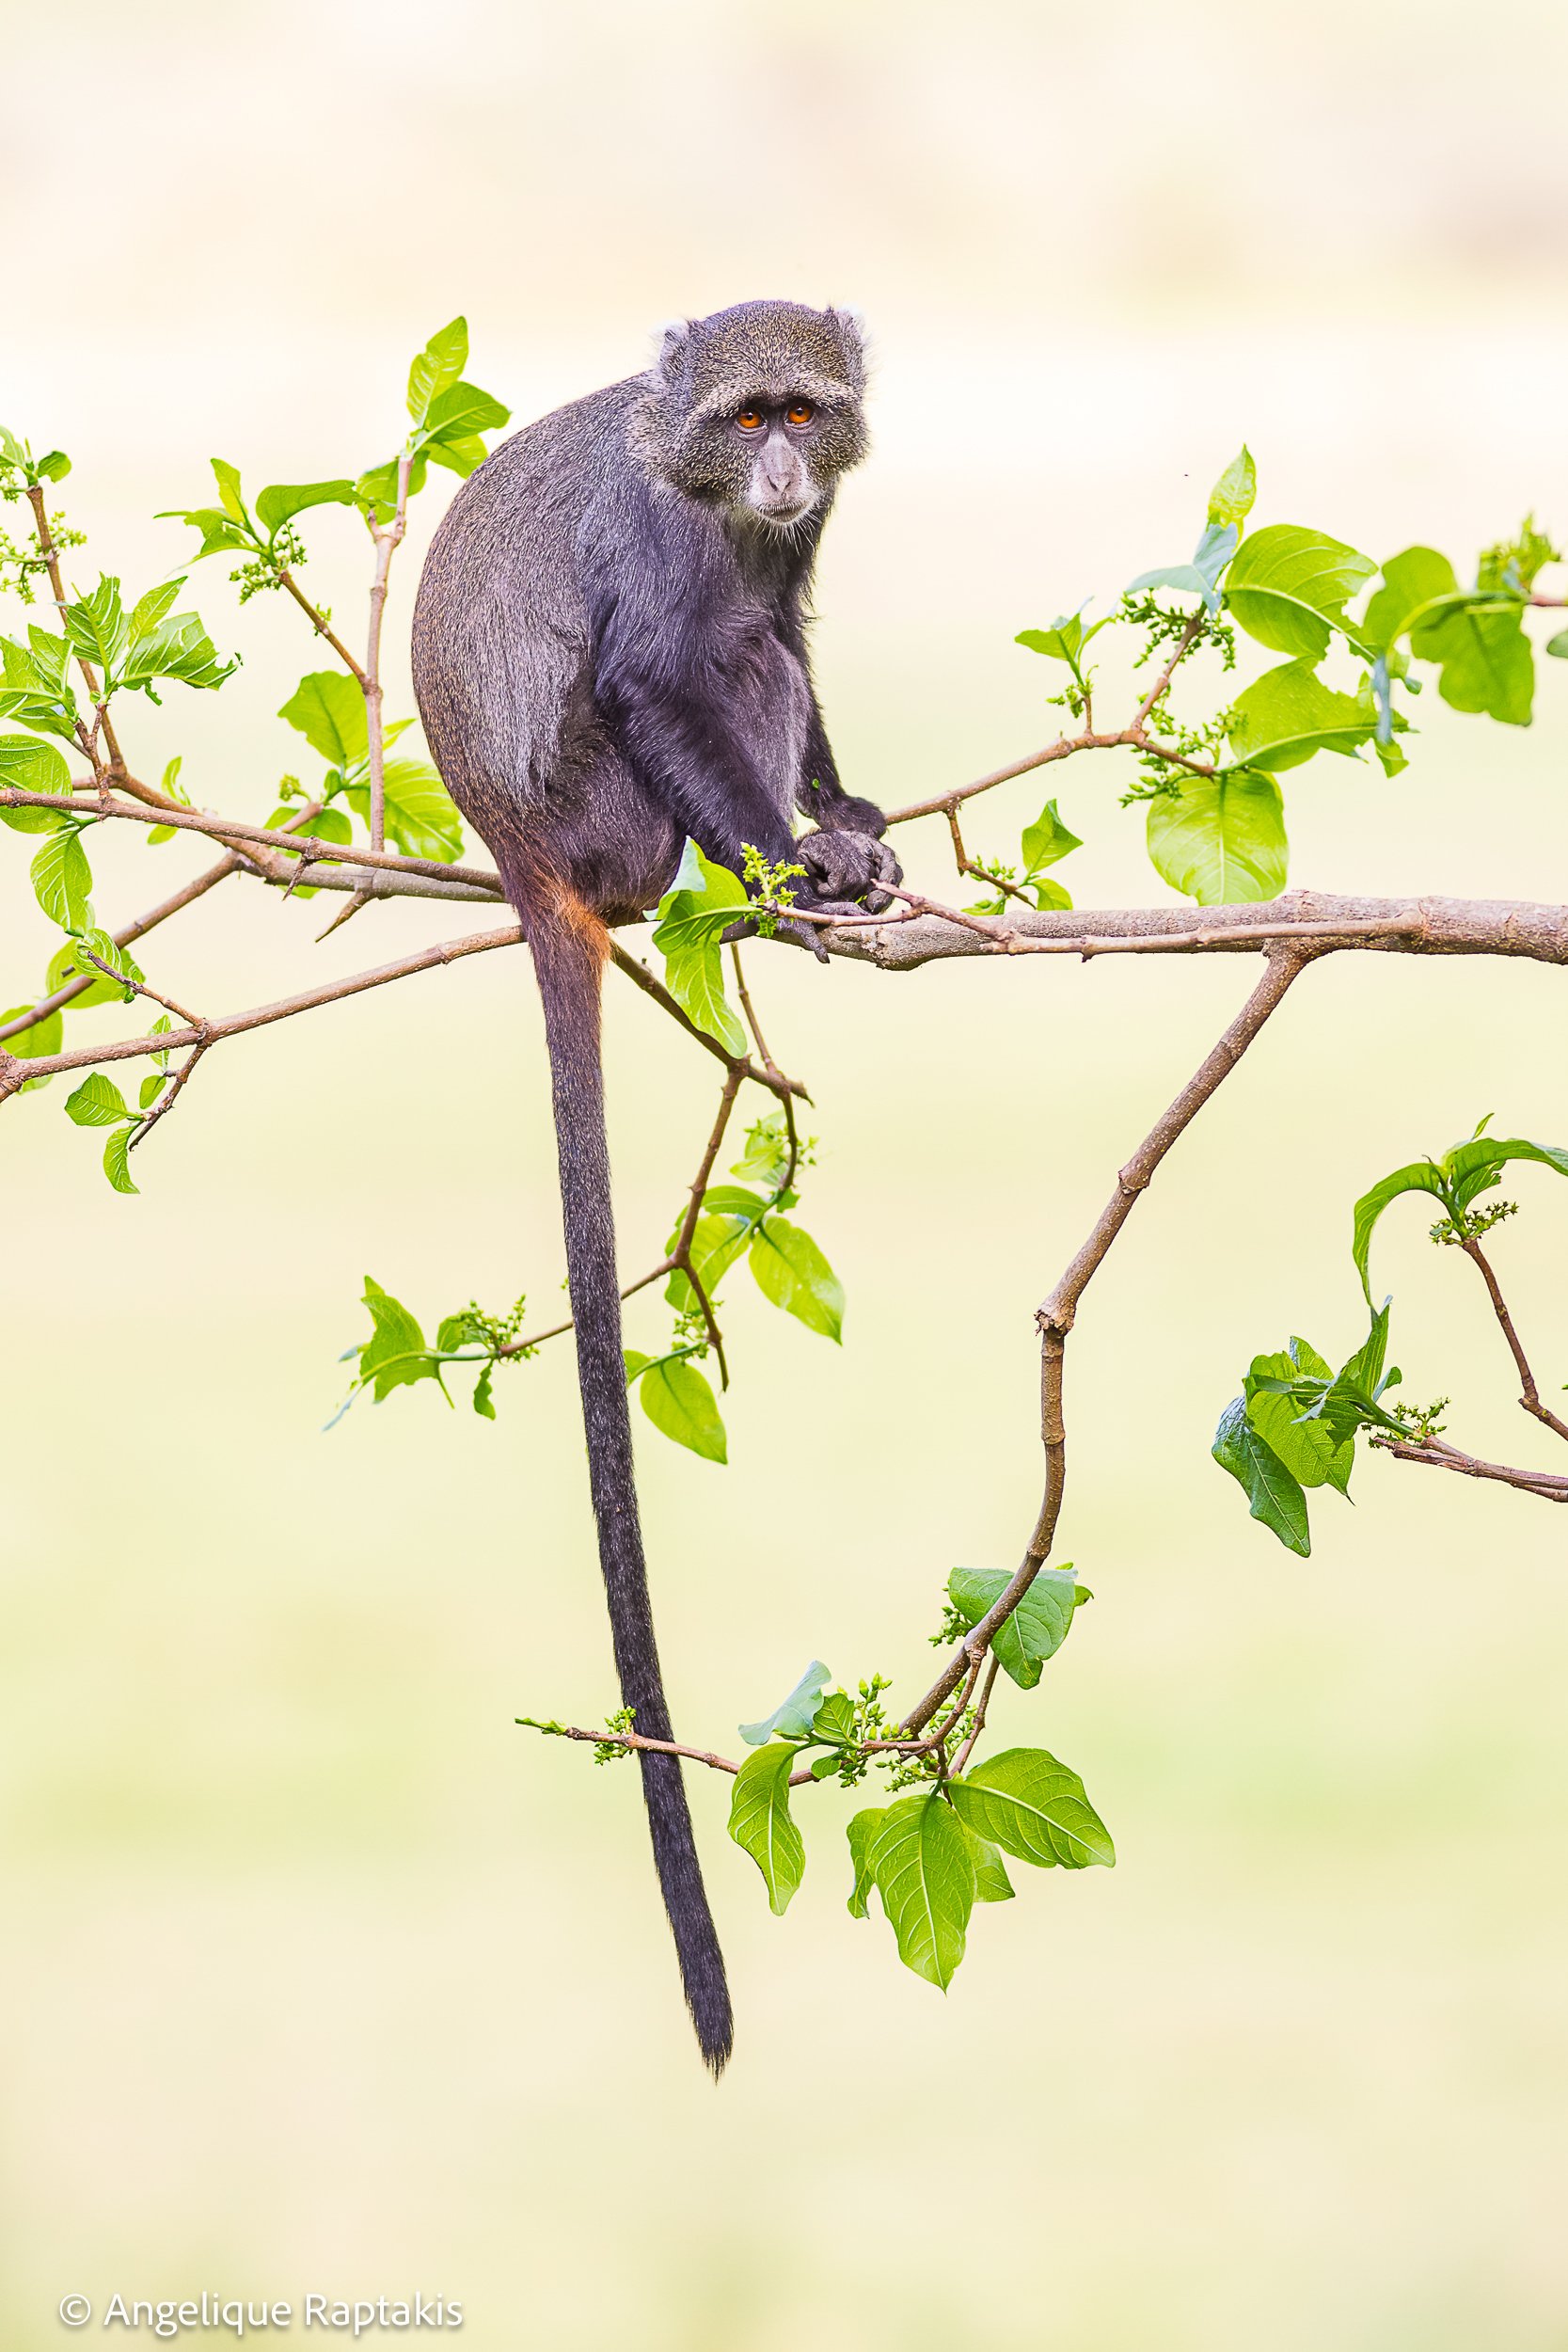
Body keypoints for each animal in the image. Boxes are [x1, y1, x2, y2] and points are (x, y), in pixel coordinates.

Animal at [410, 300, 899, 2075]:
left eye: (800, 413)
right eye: (739, 417)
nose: (774, 469)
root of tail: (516, 858)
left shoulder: (789, 540)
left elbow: (797, 631)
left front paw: (847, 814)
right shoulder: (666, 545)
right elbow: (664, 672)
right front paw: (801, 856)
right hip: (609, 819)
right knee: (724, 669)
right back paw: (770, 884)